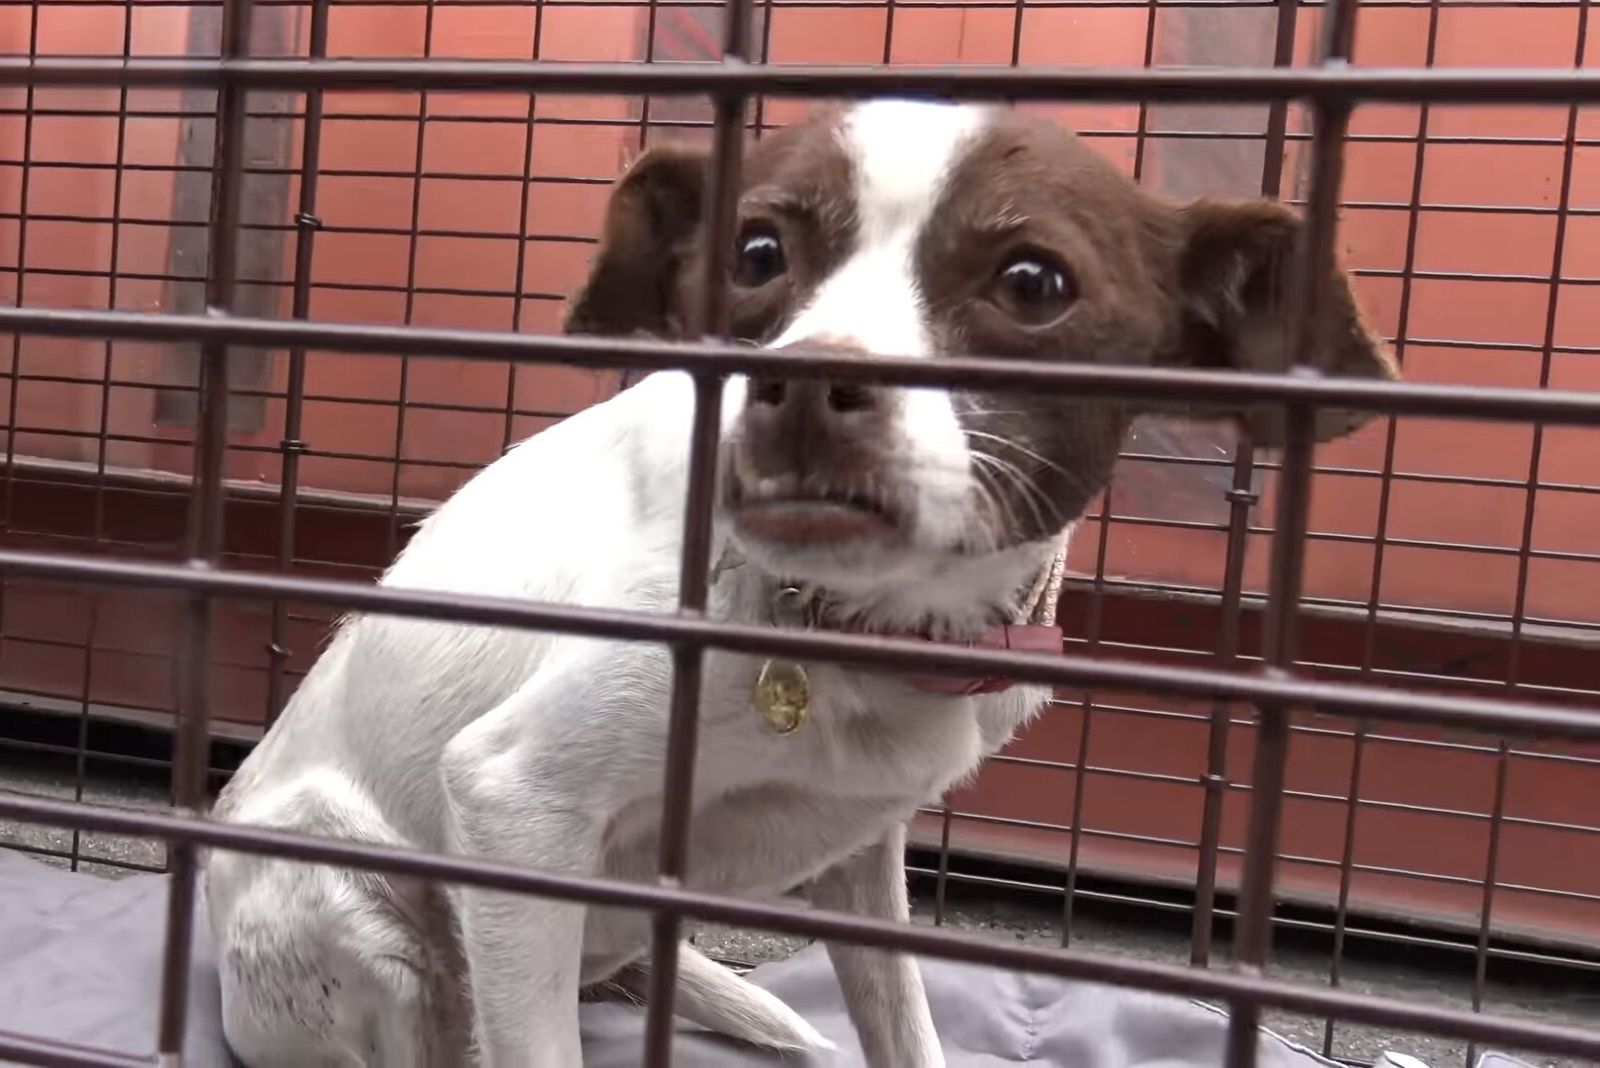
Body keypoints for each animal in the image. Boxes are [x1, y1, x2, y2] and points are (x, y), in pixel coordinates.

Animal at [203, 97, 1401, 1061]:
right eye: (755, 252)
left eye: (1032, 282)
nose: (807, 380)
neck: (863, 627)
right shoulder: (516, 797)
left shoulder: (865, 859)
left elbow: (905, 1027)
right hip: (353, 911)